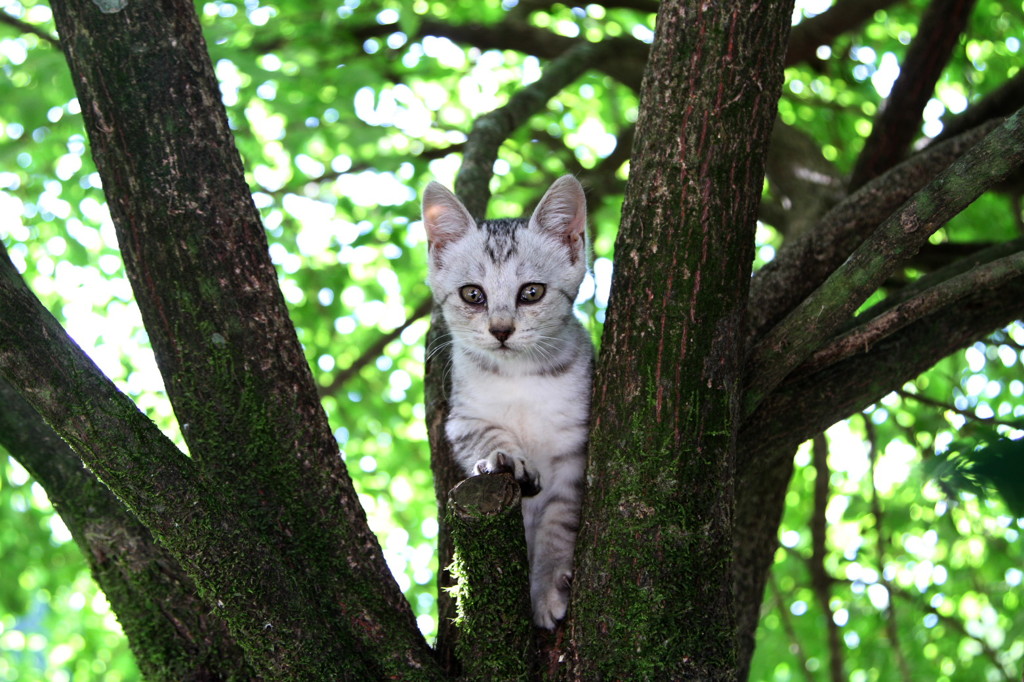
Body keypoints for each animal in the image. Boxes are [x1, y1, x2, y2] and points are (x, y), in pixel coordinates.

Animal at [421, 175, 593, 626]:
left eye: (531, 292)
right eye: (472, 295)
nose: (500, 330)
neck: (520, 377)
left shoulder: (576, 453)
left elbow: (558, 522)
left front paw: (546, 586)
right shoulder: (462, 421)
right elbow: (487, 436)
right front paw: (505, 457)